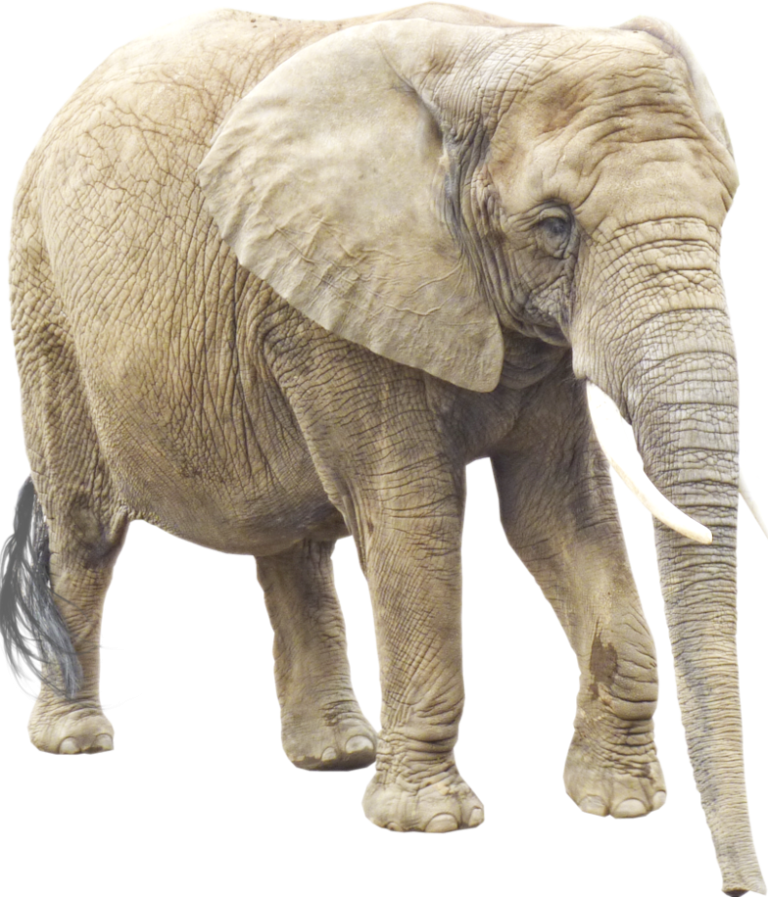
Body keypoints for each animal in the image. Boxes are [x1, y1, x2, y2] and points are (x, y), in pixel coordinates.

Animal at [4, 3, 767, 893]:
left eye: (723, 211)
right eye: (554, 226)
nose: (741, 887)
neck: (496, 47)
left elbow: (556, 515)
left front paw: (620, 804)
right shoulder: (341, 298)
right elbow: (414, 513)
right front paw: (429, 823)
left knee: (294, 544)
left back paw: (338, 754)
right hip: (46, 299)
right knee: (87, 528)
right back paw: (75, 740)